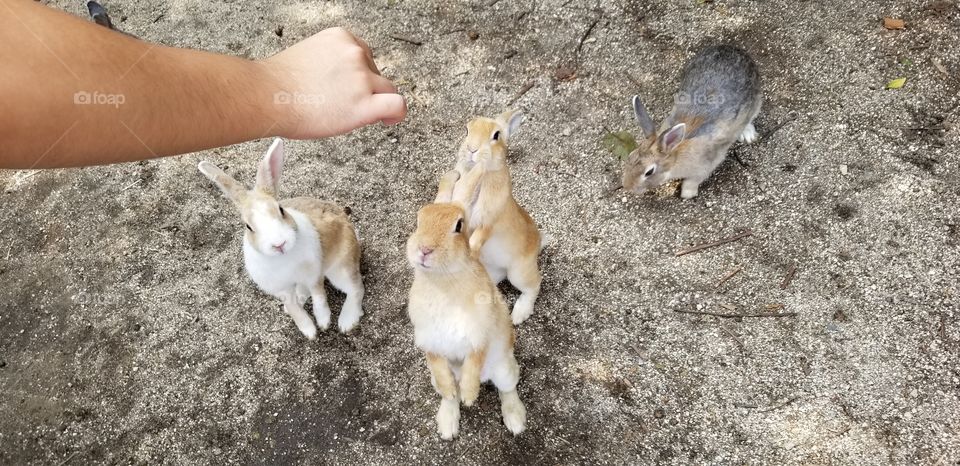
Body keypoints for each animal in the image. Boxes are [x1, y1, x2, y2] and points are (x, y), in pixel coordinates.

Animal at [197, 137, 362, 338]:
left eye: (281, 210)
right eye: (248, 226)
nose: (279, 244)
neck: (284, 259)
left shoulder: (313, 274)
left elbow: (319, 296)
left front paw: (323, 322)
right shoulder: (280, 288)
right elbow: (292, 307)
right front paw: (309, 330)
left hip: (339, 269)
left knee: (356, 288)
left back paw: (347, 321)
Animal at [404, 169, 524, 438]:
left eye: (458, 225)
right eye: (418, 221)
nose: (424, 249)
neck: (444, 279)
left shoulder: (479, 334)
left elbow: (475, 360)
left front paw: (470, 396)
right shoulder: (430, 341)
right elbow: (440, 369)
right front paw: (456, 394)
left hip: (504, 367)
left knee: (508, 387)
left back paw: (516, 421)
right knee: (448, 394)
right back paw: (447, 425)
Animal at [452, 111, 544, 326]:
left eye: (496, 135)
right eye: (466, 129)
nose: (471, 149)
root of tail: (539, 243)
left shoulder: (488, 223)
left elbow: (477, 238)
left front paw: (471, 251)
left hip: (518, 272)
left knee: (535, 285)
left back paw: (519, 315)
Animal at [624, 45, 764, 200]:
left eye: (649, 172)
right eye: (630, 156)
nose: (627, 186)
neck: (675, 153)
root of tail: (735, 50)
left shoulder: (705, 166)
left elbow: (692, 181)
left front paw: (686, 194)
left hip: (756, 101)